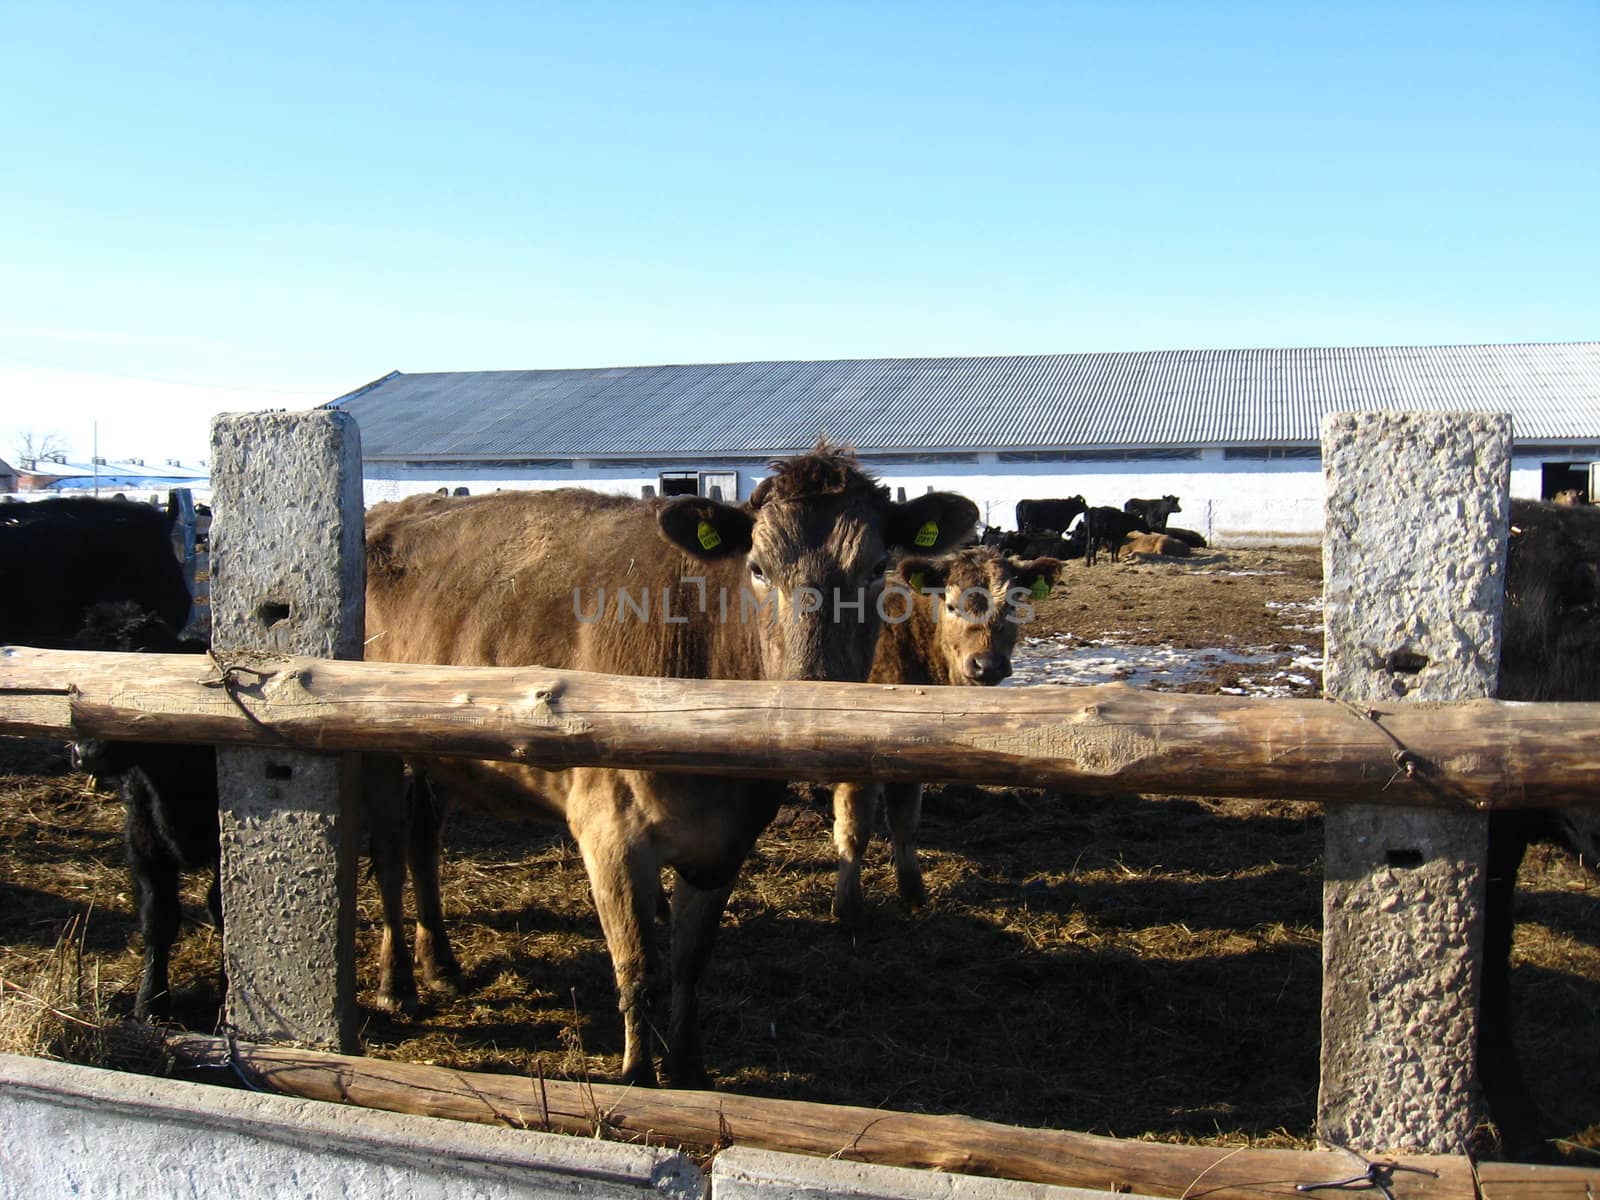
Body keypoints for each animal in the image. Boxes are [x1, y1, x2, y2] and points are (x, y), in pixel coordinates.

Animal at [363, 444, 972, 1088]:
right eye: (758, 568)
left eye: (878, 566)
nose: (818, 696)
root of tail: (388, 512)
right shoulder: (608, 832)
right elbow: (638, 968)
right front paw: (637, 1079)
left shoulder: (726, 841)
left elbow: (689, 964)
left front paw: (688, 1071)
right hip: (373, 748)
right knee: (389, 855)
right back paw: (397, 984)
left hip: (435, 756)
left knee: (423, 844)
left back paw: (441, 965)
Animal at [825, 550, 1062, 928]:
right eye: (951, 605)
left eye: (1013, 603)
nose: (987, 664)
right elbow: (855, 831)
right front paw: (847, 907)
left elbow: (905, 824)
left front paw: (913, 894)